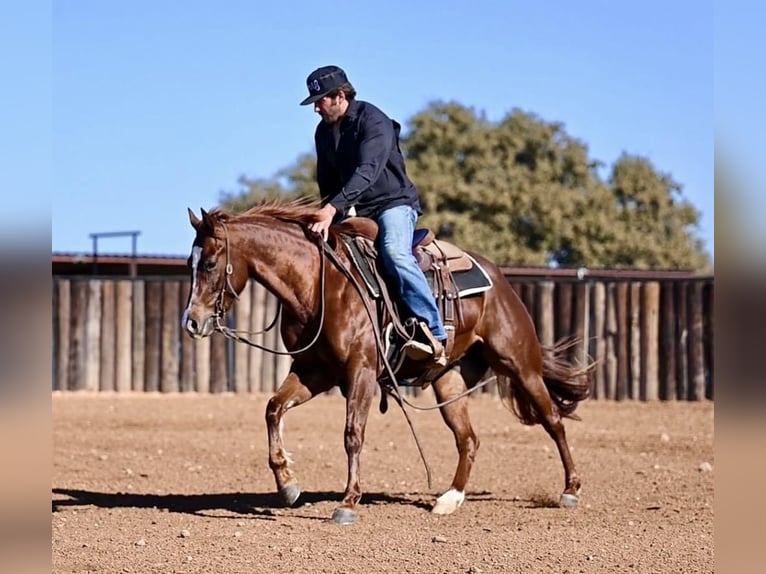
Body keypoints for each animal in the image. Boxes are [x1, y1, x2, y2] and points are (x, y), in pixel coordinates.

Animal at [183, 201, 596, 528]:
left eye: (210, 263)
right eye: (190, 263)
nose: (192, 322)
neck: (319, 284)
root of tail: (499, 278)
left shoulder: (362, 371)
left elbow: (353, 434)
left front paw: (348, 502)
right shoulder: (313, 372)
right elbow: (273, 409)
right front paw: (287, 484)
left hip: (519, 363)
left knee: (553, 420)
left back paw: (570, 490)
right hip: (449, 379)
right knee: (468, 438)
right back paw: (450, 499)